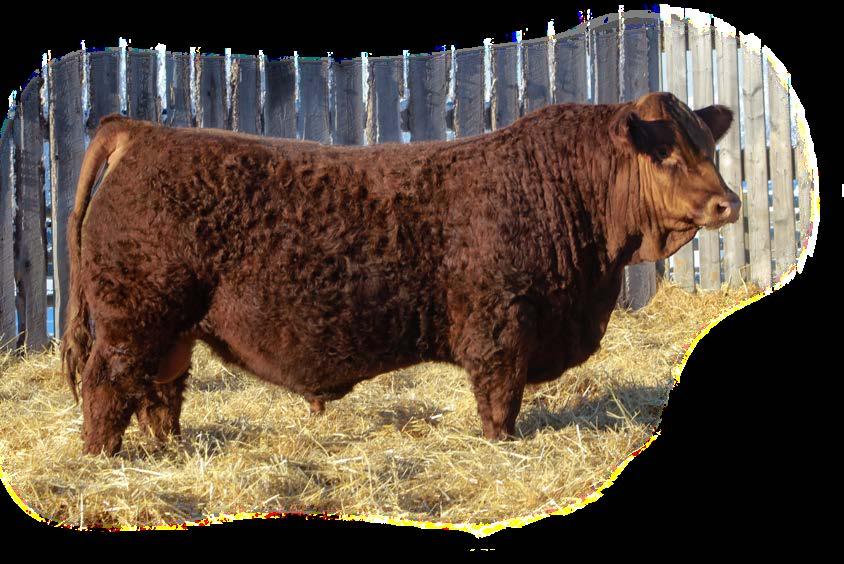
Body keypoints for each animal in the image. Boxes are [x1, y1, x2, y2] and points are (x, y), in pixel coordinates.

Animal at [61, 91, 740, 455]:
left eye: (710, 149)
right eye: (670, 155)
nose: (727, 203)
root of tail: (140, 130)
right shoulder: (500, 327)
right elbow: (500, 402)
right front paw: (502, 447)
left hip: (170, 329)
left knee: (159, 393)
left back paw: (167, 451)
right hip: (133, 317)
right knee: (107, 386)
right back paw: (101, 457)